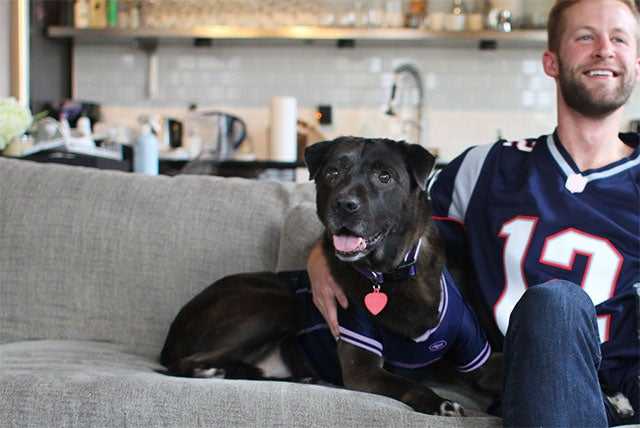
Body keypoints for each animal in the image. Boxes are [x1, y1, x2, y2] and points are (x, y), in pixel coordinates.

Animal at [161, 136, 496, 414]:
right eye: (333, 172)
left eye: (384, 177)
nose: (345, 204)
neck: (393, 275)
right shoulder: (362, 368)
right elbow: (409, 384)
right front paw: (440, 403)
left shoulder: (476, 357)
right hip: (277, 304)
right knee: (188, 362)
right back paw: (210, 371)